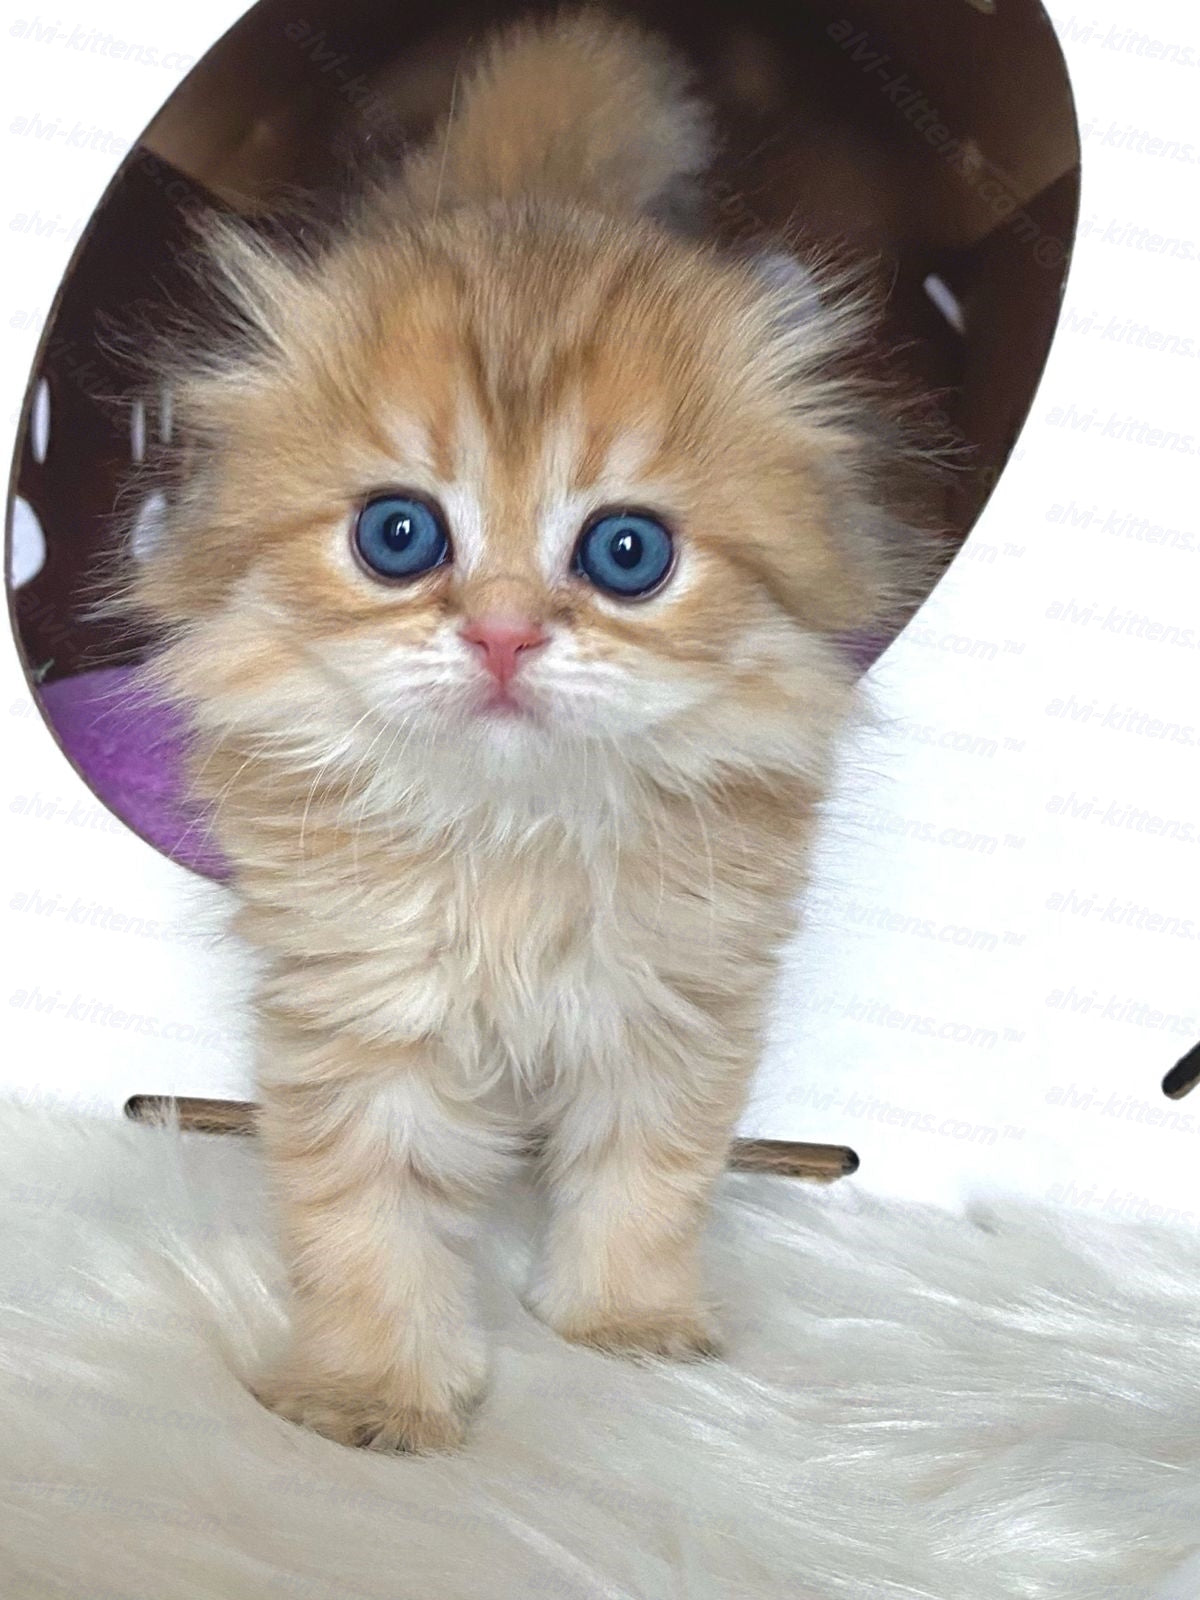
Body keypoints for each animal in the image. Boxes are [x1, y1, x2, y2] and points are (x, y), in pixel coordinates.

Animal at [131, 9, 934, 1452]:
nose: (503, 635)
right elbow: (368, 1217)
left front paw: (622, 1323)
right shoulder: (364, 1012)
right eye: (400, 535)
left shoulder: (675, 1002)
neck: (519, 841)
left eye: (627, 552)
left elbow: (649, 1174)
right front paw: (376, 1395)